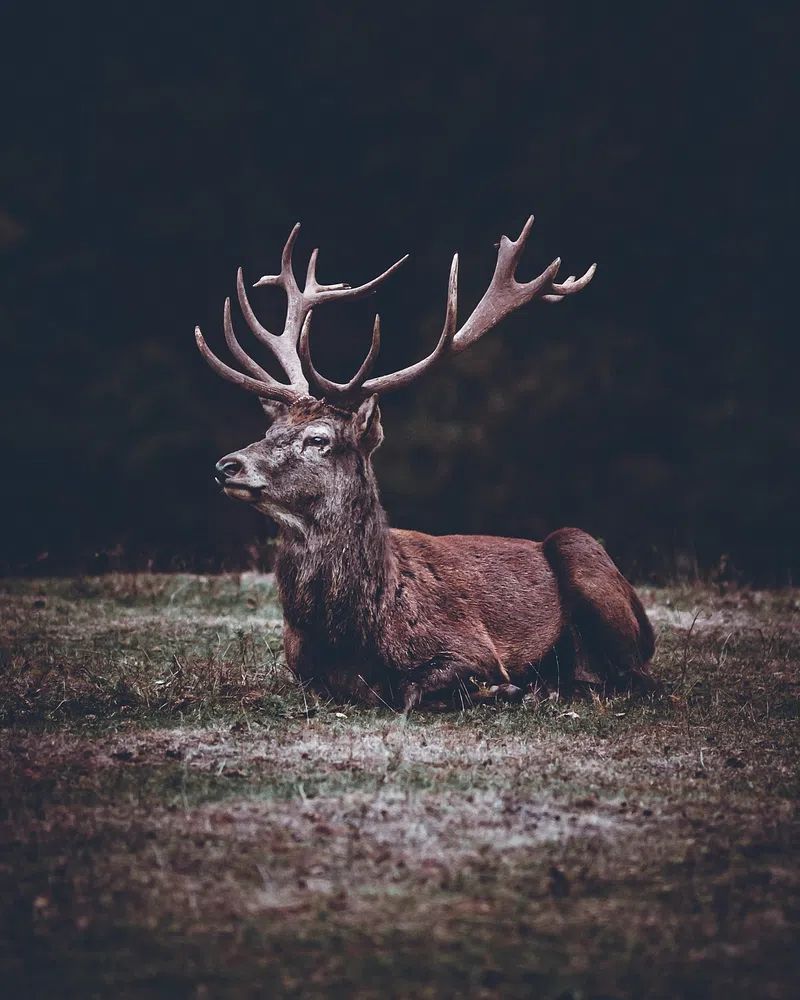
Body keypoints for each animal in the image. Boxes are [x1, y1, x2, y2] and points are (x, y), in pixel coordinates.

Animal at [195, 215, 655, 711]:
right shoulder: (301, 668)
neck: (352, 633)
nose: (227, 466)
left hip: (583, 552)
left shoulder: (472, 644)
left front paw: (505, 688)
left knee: (636, 676)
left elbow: (415, 691)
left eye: (318, 439)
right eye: (269, 431)